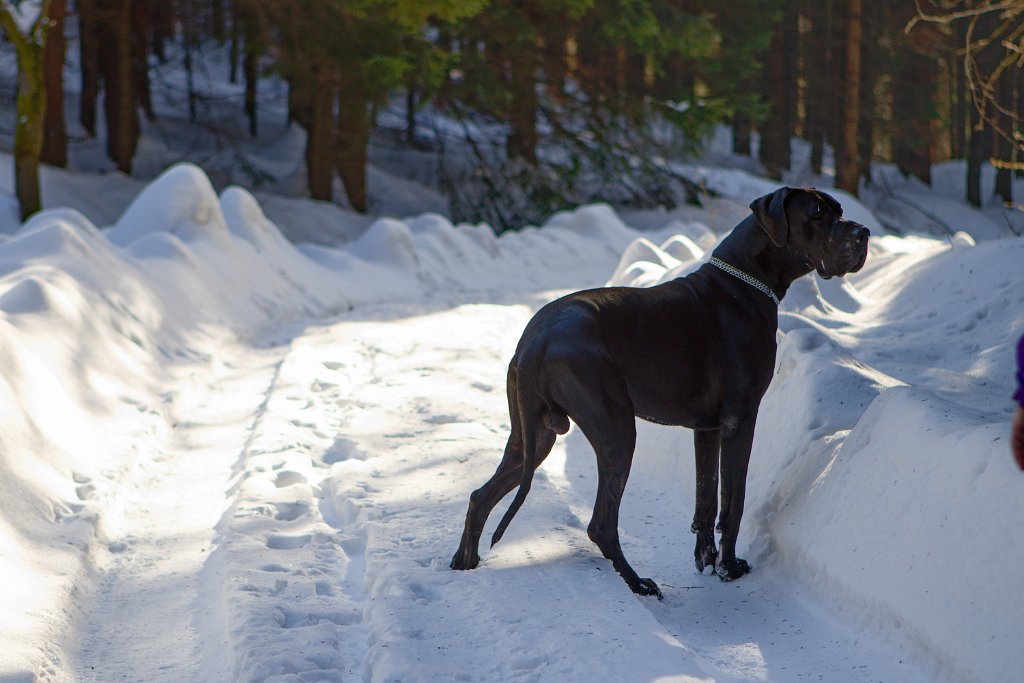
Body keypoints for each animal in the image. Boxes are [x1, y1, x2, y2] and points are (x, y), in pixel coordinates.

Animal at [448, 187, 864, 598]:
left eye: (838, 210)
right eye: (817, 214)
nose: (863, 233)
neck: (746, 281)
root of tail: (537, 340)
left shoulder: (707, 429)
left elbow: (706, 498)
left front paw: (706, 560)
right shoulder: (740, 419)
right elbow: (733, 503)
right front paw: (728, 568)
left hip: (534, 436)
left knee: (480, 496)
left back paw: (463, 563)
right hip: (616, 431)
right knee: (601, 524)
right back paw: (637, 583)